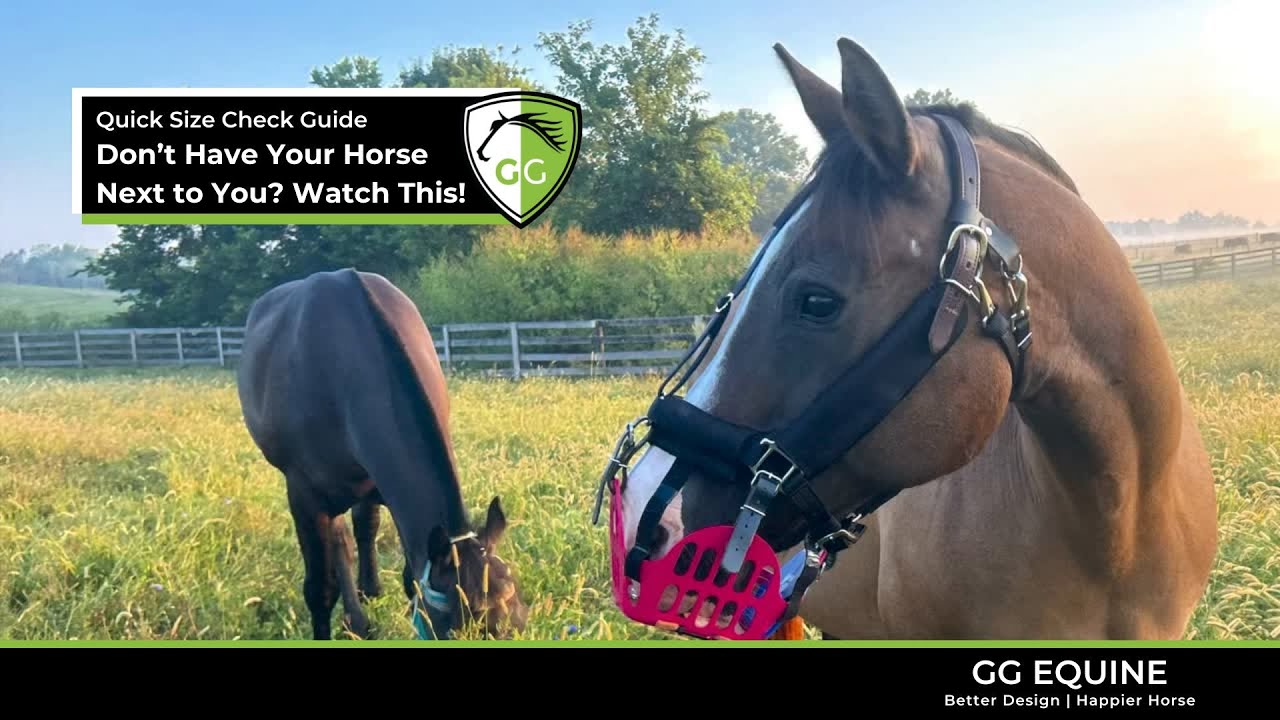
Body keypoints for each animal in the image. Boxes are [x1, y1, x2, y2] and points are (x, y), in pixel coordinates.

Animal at [236, 268, 528, 640]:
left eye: (519, 622)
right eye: (462, 630)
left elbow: (407, 577)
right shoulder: (305, 496)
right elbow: (320, 590)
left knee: (360, 530)